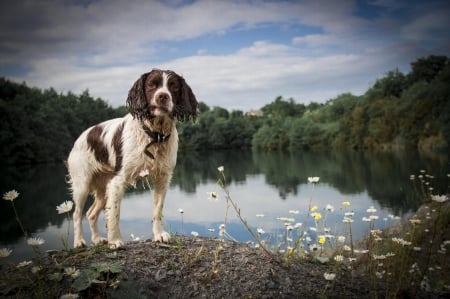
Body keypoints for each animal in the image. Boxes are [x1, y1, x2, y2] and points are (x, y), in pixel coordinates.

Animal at [67, 69, 198, 250]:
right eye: (151, 85)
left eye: (174, 87)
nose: (162, 96)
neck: (154, 135)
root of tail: (79, 137)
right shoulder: (118, 181)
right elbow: (114, 213)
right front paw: (115, 240)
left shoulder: (163, 178)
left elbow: (157, 210)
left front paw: (159, 235)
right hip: (82, 183)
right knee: (77, 213)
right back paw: (79, 241)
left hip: (103, 187)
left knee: (91, 213)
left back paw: (97, 239)